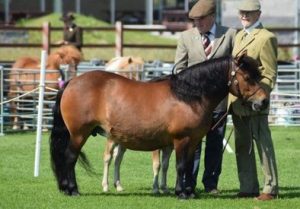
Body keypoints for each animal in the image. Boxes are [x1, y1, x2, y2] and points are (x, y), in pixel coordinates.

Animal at [49, 53, 270, 198]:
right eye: (248, 77)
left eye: (258, 76)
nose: (264, 101)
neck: (188, 95)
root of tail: (71, 83)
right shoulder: (181, 140)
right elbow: (180, 166)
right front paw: (181, 193)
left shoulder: (193, 141)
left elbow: (187, 166)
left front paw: (189, 192)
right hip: (79, 134)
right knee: (70, 158)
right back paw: (72, 190)